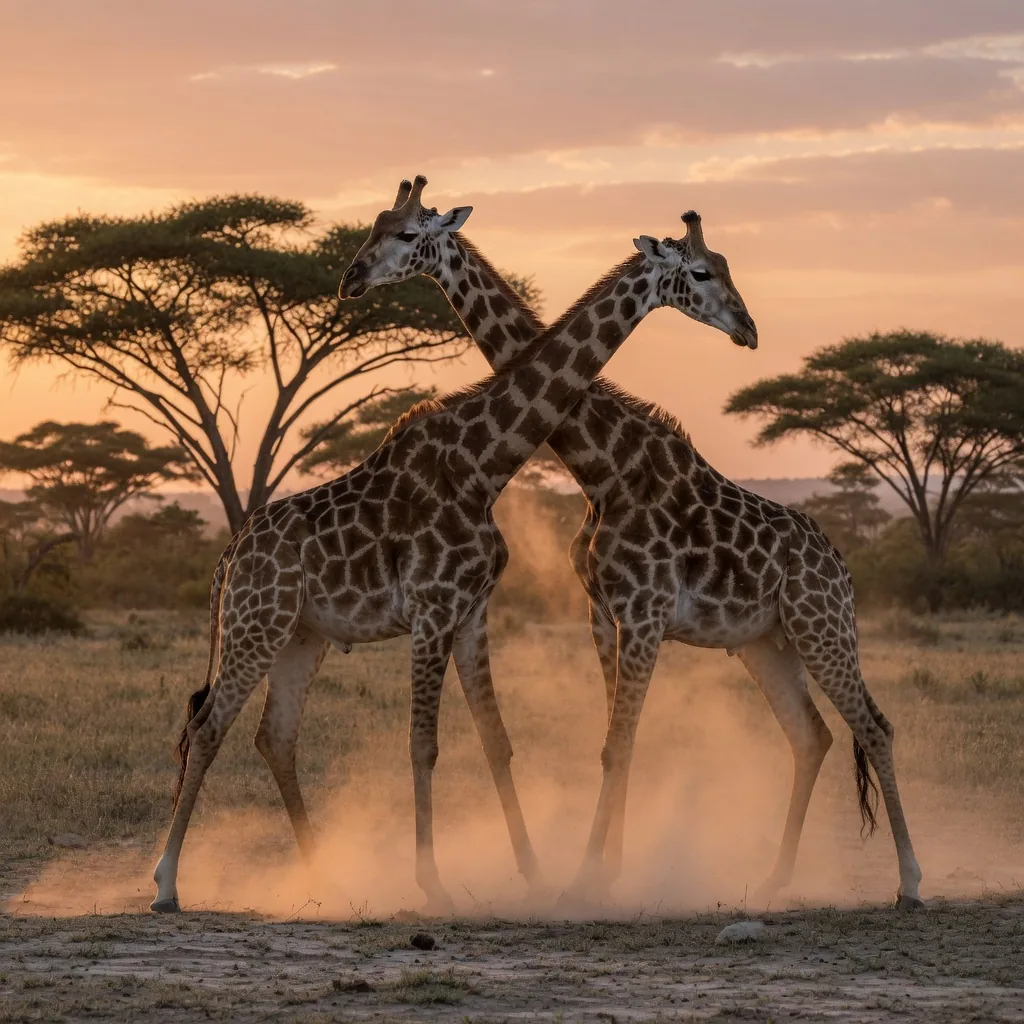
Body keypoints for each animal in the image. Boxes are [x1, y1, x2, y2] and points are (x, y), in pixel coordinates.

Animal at [149, 188, 756, 914]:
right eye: (701, 273)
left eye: (404, 233)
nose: (748, 328)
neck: (483, 462)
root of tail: (227, 559)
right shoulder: (433, 611)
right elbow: (424, 745)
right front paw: (432, 882)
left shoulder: (470, 613)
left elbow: (496, 741)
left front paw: (533, 874)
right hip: (255, 624)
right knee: (206, 728)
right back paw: (165, 885)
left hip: (300, 634)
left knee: (275, 736)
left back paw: (320, 877)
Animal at [341, 176, 924, 910]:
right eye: (377, 227)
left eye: (407, 233)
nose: (351, 277)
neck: (602, 465)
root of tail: (841, 568)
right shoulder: (605, 611)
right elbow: (616, 736)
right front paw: (606, 868)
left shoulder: (644, 611)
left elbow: (619, 743)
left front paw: (590, 877)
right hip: (767, 641)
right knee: (811, 735)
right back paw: (773, 879)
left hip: (824, 628)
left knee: (874, 724)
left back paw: (909, 882)